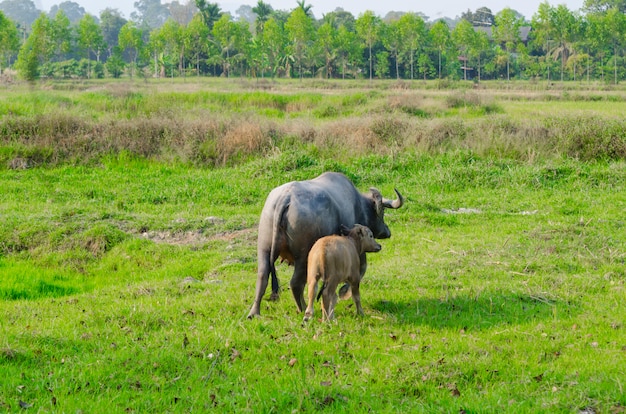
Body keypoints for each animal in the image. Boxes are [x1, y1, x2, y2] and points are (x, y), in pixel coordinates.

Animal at [244, 171, 400, 316]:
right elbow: (361, 269)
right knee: (296, 283)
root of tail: (285, 197)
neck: (358, 205)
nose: (387, 232)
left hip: (264, 248)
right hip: (303, 256)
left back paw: (254, 313)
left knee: (263, 276)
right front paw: (345, 291)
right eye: (383, 211)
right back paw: (303, 308)